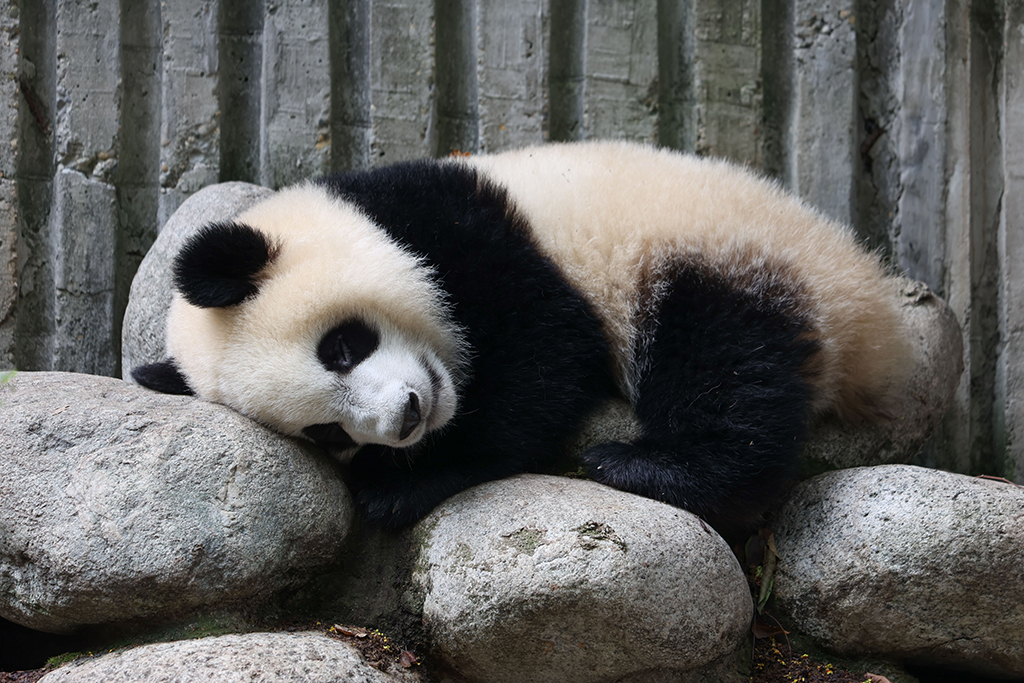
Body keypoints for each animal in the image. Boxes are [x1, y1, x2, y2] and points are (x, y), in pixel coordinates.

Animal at [132, 140, 909, 532]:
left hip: (713, 252)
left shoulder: (466, 232)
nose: (408, 417)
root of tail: (865, 306)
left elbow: (544, 355)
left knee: (725, 364)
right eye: (328, 435)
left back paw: (648, 466)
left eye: (342, 347)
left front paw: (409, 484)